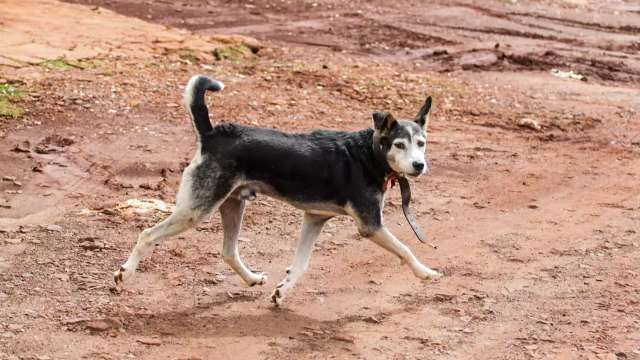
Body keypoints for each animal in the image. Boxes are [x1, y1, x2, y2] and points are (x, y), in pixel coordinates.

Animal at [114, 75, 440, 304]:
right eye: (399, 144)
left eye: (421, 143)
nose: (419, 165)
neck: (369, 153)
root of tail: (211, 133)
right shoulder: (371, 226)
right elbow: (406, 249)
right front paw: (426, 272)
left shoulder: (314, 218)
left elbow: (300, 265)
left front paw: (282, 292)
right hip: (196, 210)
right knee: (147, 235)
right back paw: (124, 274)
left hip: (233, 204)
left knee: (228, 252)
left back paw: (251, 278)